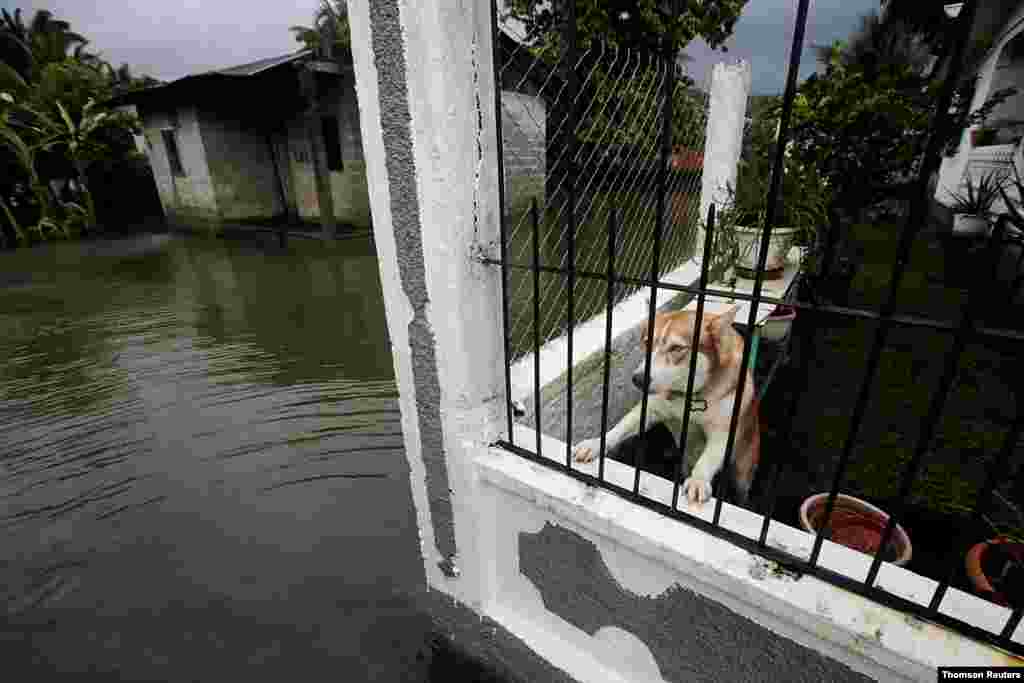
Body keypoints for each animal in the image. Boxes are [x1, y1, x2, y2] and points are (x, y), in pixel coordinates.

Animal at [577, 307, 761, 505]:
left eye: (676, 348)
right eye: (647, 342)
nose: (637, 379)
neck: (688, 397)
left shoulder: (723, 433)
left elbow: (707, 459)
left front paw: (698, 480)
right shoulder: (649, 409)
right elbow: (620, 427)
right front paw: (596, 443)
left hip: (742, 473)